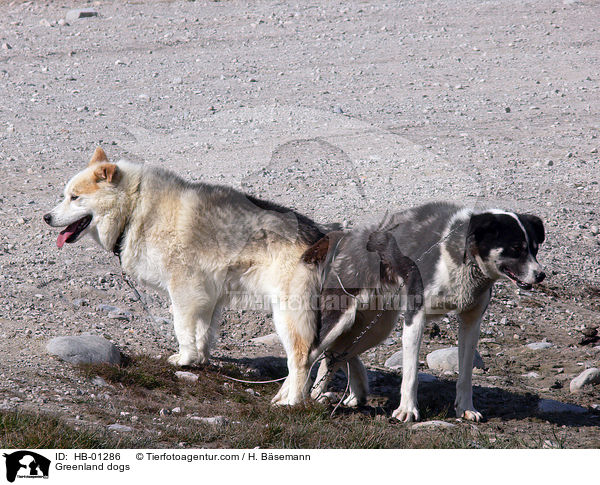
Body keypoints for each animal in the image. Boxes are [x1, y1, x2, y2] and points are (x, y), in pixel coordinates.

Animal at [44, 147, 326, 404]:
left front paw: (184, 359)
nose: (46, 217)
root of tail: (319, 240)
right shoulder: (207, 298)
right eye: (65, 196)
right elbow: (202, 333)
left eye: (75, 197)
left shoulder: (184, 291)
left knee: (301, 360)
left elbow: (182, 328)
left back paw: (291, 402)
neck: (135, 208)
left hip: (288, 316)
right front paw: (198, 360)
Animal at [304, 202, 544, 422]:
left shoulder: (471, 323)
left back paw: (345, 394)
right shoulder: (415, 318)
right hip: (339, 320)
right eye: (516, 248)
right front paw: (407, 410)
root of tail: (348, 236)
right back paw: (300, 398)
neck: (463, 258)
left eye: (535, 249)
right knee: (312, 354)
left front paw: (466, 408)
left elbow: (465, 376)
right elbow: (410, 374)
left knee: (336, 355)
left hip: (376, 329)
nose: (541, 275)